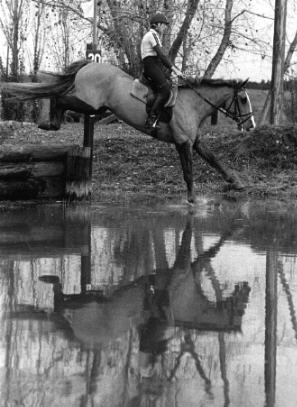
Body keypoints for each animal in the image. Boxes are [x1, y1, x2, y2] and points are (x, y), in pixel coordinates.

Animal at [1, 61, 254, 203]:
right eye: (243, 99)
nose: (251, 125)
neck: (192, 103)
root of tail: (89, 65)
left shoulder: (196, 141)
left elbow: (215, 160)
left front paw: (237, 182)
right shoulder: (183, 143)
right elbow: (189, 172)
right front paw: (192, 200)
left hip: (97, 108)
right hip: (90, 104)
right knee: (60, 96)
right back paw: (51, 121)